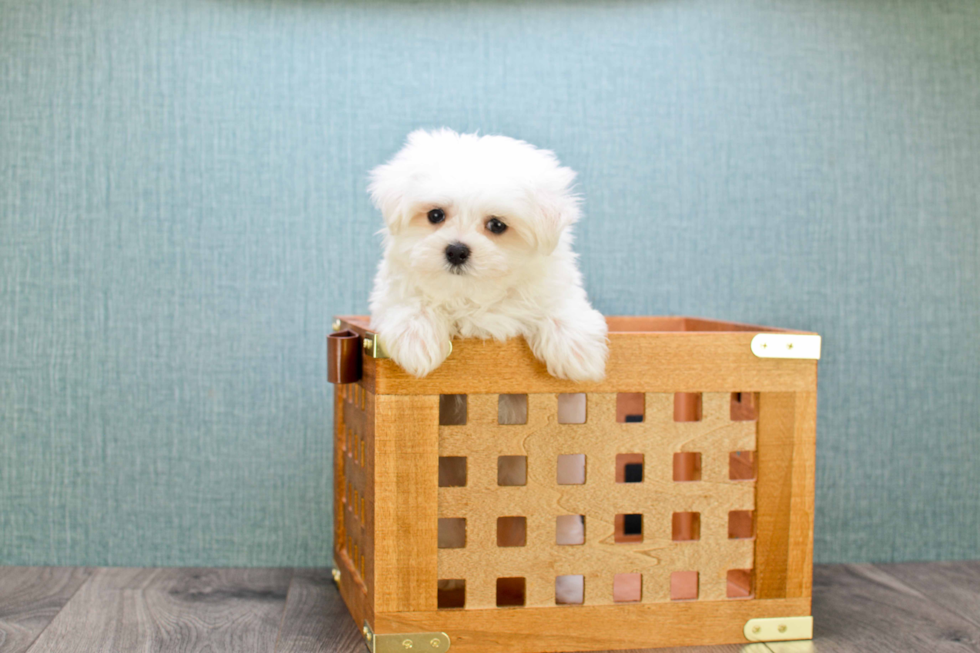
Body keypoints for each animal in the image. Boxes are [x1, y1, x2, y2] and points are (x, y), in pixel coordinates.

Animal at [366, 129, 604, 380]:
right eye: (435, 215)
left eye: (497, 225)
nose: (456, 251)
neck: (470, 294)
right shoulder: (391, 291)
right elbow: (408, 301)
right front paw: (414, 337)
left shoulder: (553, 284)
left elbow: (561, 305)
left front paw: (577, 349)